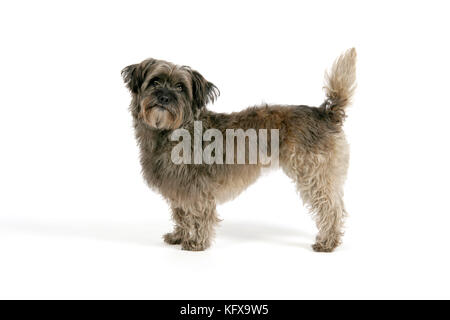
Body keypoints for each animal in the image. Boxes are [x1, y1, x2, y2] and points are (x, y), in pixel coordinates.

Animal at [121, 48, 356, 252]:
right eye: (155, 81)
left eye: (180, 87)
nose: (164, 97)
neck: (172, 131)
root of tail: (325, 112)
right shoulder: (178, 187)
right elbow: (181, 212)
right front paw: (179, 235)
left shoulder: (197, 187)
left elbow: (198, 213)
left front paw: (196, 242)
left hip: (316, 176)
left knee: (331, 208)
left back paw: (327, 242)